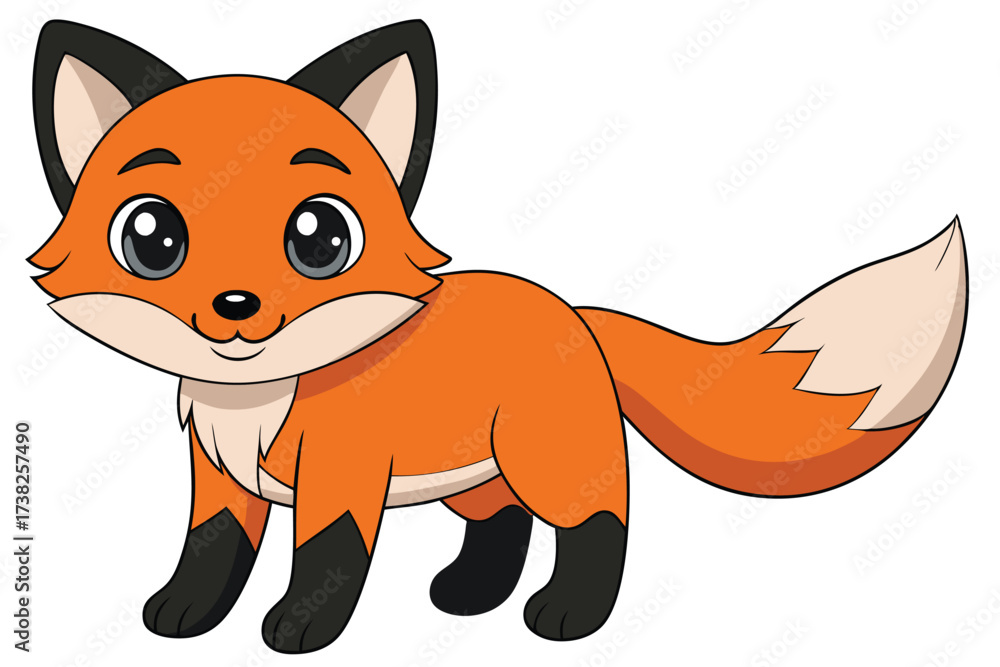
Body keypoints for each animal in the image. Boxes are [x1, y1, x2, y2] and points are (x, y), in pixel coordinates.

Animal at [29, 19, 967, 654]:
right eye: (152, 237)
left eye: (319, 238)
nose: (235, 306)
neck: (255, 401)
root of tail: (572, 311)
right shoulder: (220, 476)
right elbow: (211, 549)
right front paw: (184, 612)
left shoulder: (341, 474)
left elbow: (327, 556)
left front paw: (299, 626)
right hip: (475, 472)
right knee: (502, 522)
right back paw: (471, 594)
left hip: (549, 459)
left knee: (600, 522)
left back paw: (569, 614)